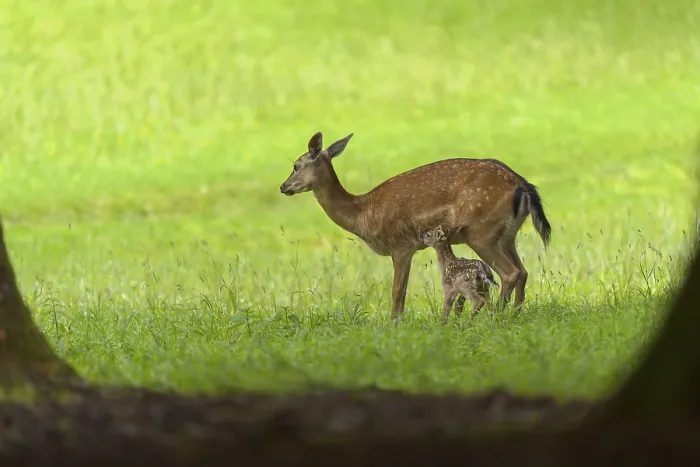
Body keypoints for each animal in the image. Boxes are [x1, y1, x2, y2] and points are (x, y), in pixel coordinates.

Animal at [279, 131, 551, 322]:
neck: (363, 213)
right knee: (523, 271)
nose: (283, 187)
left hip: (481, 232)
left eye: (295, 166)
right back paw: (513, 316)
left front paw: (393, 325)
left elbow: (398, 292)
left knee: (511, 273)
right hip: (506, 235)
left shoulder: (401, 245)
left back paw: (496, 317)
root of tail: (522, 186)